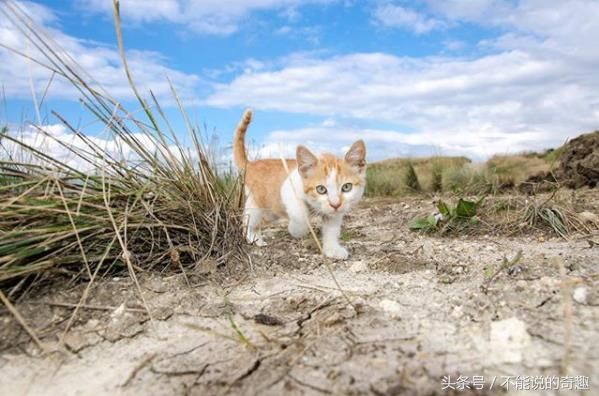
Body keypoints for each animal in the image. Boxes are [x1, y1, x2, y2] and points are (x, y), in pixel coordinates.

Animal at [233, 110, 366, 260]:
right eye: (321, 189)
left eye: (346, 187)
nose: (335, 204)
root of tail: (251, 164)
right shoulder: (287, 188)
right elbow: (300, 215)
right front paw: (296, 230)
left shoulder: (333, 213)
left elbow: (332, 228)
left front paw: (332, 249)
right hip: (259, 204)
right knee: (248, 220)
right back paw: (251, 238)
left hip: (271, 211)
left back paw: (257, 239)